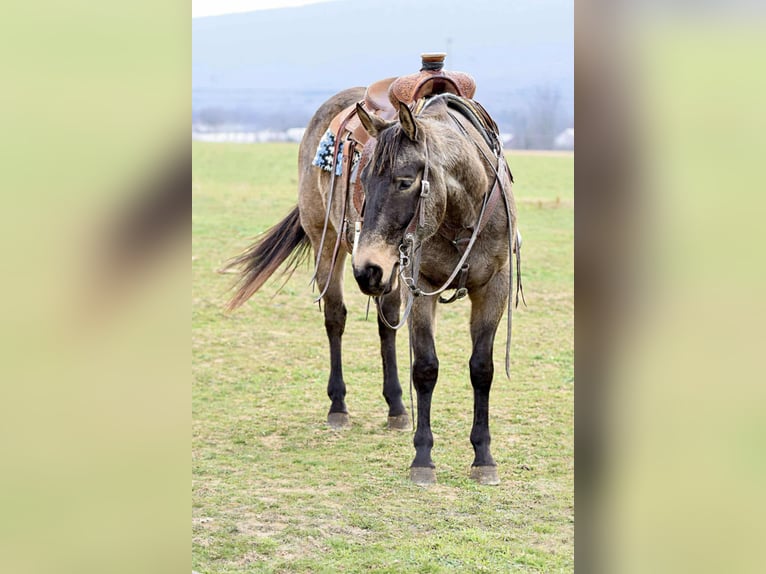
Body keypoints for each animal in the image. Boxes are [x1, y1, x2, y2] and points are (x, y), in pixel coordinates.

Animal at [222, 55, 520, 486]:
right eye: (361, 176)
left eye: (404, 182)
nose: (366, 267)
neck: (460, 214)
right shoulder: (421, 286)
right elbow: (425, 368)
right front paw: (423, 458)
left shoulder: (493, 285)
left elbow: (482, 368)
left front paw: (483, 458)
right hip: (329, 244)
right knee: (335, 318)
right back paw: (338, 406)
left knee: (385, 323)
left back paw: (396, 408)